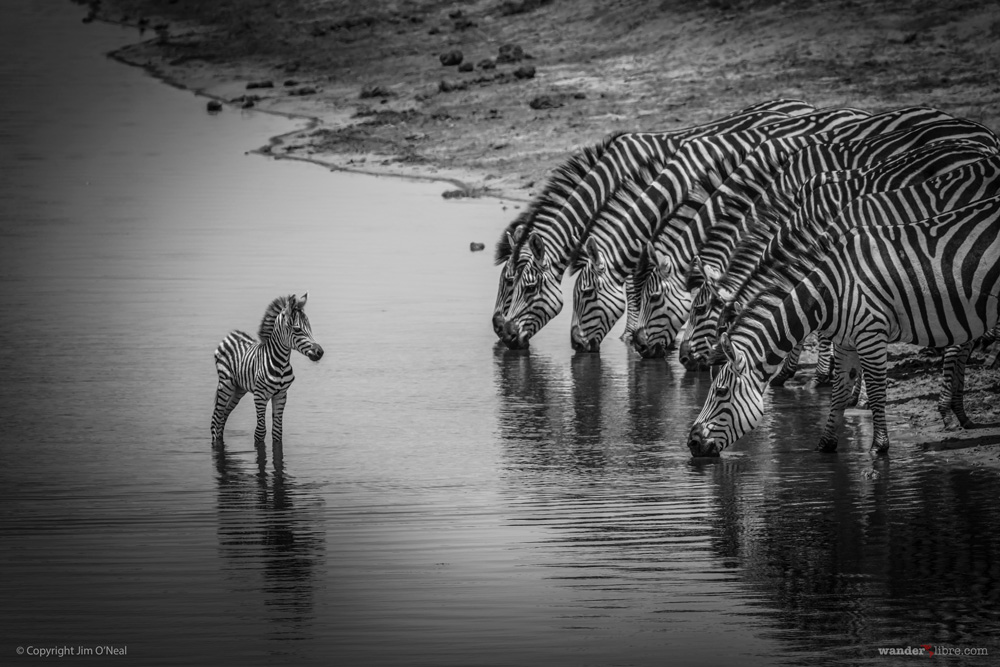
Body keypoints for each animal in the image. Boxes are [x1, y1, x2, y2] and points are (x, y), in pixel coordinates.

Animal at [211, 294, 324, 446]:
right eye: (297, 329)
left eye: (310, 328)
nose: (320, 352)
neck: (281, 364)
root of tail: (230, 334)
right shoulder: (260, 395)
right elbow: (260, 431)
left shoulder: (281, 395)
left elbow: (277, 431)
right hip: (226, 384)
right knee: (216, 418)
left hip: (238, 388)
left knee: (223, 416)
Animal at [688, 196, 1000, 460]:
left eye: (721, 392)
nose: (691, 443)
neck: (832, 291)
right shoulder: (847, 341)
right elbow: (838, 392)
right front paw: (826, 444)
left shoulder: (871, 334)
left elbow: (876, 389)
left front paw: (878, 447)